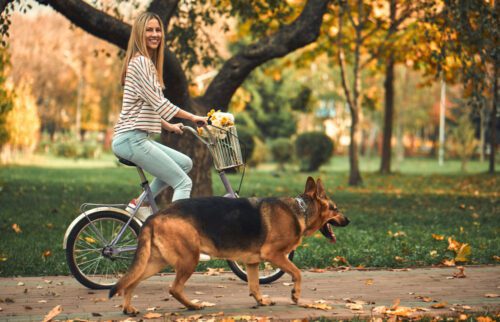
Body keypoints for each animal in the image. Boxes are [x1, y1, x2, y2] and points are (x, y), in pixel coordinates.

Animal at [110, 176, 348, 314]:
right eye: (335, 208)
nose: (348, 221)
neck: (301, 210)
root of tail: (155, 215)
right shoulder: (275, 255)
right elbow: (297, 273)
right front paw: (295, 295)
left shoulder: (252, 263)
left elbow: (254, 286)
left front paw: (261, 301)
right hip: (188, 259)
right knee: (174, 288)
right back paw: (193, 306)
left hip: (155, 263)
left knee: (130, 283)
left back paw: (129, 308)